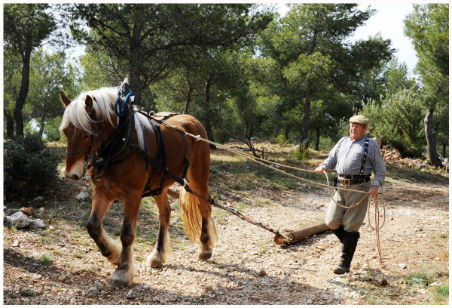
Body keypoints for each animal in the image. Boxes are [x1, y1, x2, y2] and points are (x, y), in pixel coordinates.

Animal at [58, 80, 217, 288]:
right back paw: (158, 255)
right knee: (165, 214)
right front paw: (113, 255)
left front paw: (122, 271)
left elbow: (127, 234)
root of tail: (192, 120)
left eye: (86, 134)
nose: (71, 174)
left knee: (205, 205)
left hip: (198, 177)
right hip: (160, 184)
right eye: (66, 132)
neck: (122, 142)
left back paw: (205, 247)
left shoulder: (132, 196)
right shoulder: (102, 191)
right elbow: (93, 226)